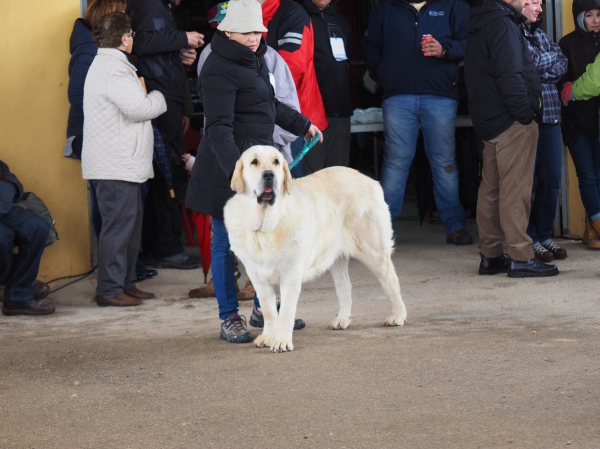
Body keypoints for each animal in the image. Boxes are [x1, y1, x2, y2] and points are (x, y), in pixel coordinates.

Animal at [225, 145, 408, 352]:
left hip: (372, 250)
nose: (269, 174)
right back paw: (342, 319)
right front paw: (268, 337)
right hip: (336, 258)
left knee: (391, 281)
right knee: (345, 287)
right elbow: (269, 311)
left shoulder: (290, 275)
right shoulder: (257, 277)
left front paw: (281, 341)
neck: (265, 227)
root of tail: (370, 180)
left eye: (276, 162)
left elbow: (285, 312)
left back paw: (397, 315)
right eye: (254, 162)